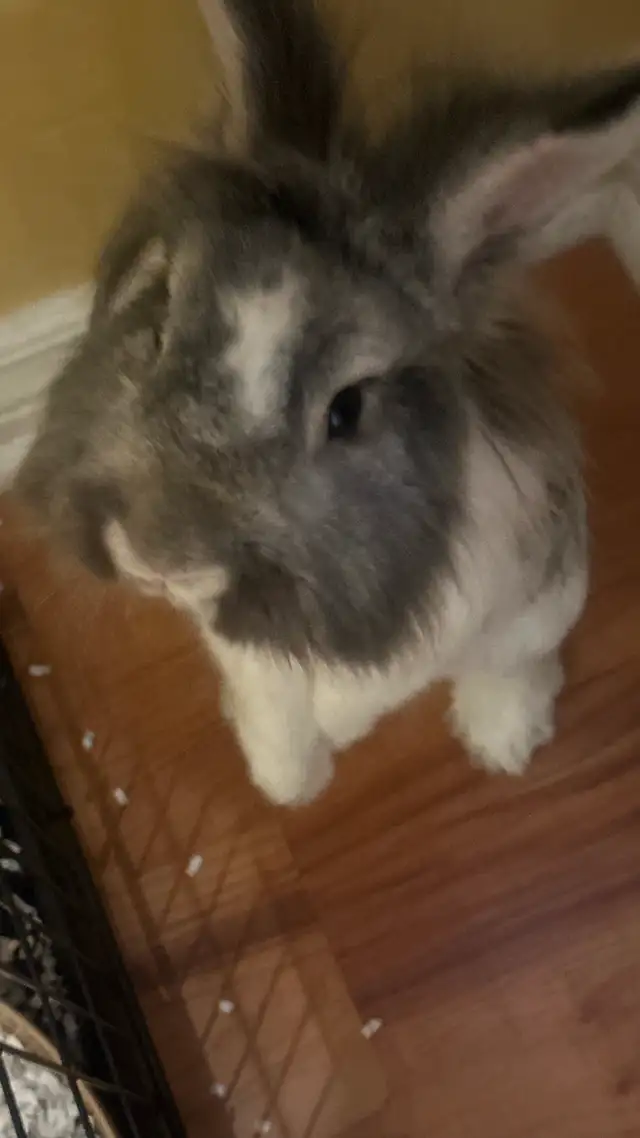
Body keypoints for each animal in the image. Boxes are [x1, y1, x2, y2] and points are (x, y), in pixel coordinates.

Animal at [14, 0, 640, 806]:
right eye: (156, 325)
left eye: (347, 411)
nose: (157, 560)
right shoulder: (249, 654)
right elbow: (277, 706)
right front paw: (288, 782)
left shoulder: (527, 593)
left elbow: (477, 669)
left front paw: (493, 744)